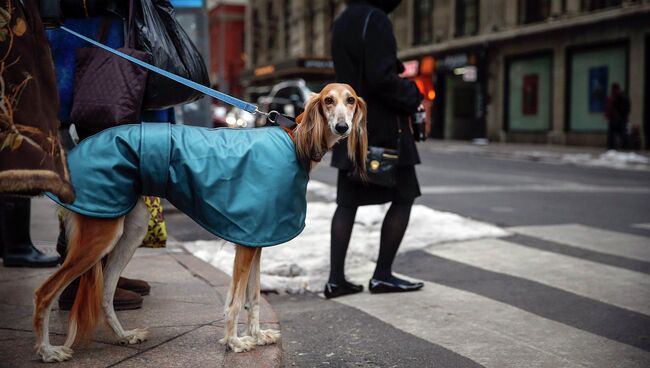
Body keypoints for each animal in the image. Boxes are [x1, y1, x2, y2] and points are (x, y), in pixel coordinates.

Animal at [33, 82, 368, 360]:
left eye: (350, 100)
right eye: (328, 100)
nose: (342, 127)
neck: (294, 140)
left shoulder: (257, 239)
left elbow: (255, 297)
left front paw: (257, 336)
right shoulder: (246, 243)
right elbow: (236, 301)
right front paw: (234, 342)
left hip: (129, 231)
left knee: (105, 294)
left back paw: (124, 336)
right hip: (100, 235)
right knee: (45, 292)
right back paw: (48, 351)